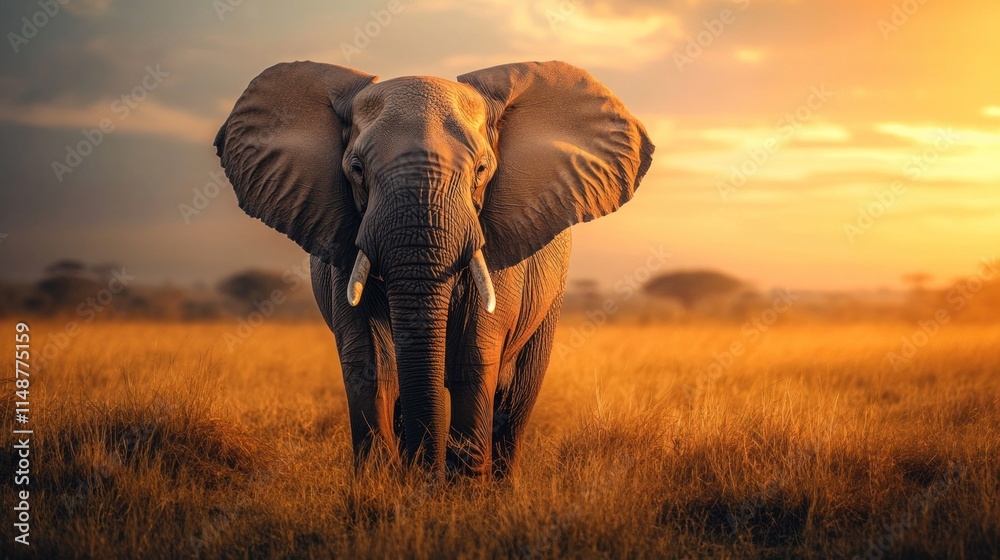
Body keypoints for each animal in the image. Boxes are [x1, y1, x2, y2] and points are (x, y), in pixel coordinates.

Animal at [214, 60, 653, 478]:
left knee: (518, 396)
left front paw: (460, 493)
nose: (430, 478)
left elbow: (472, 359)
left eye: (481, 171)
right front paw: (382, 487)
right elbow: (373, 361)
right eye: (356, 169)